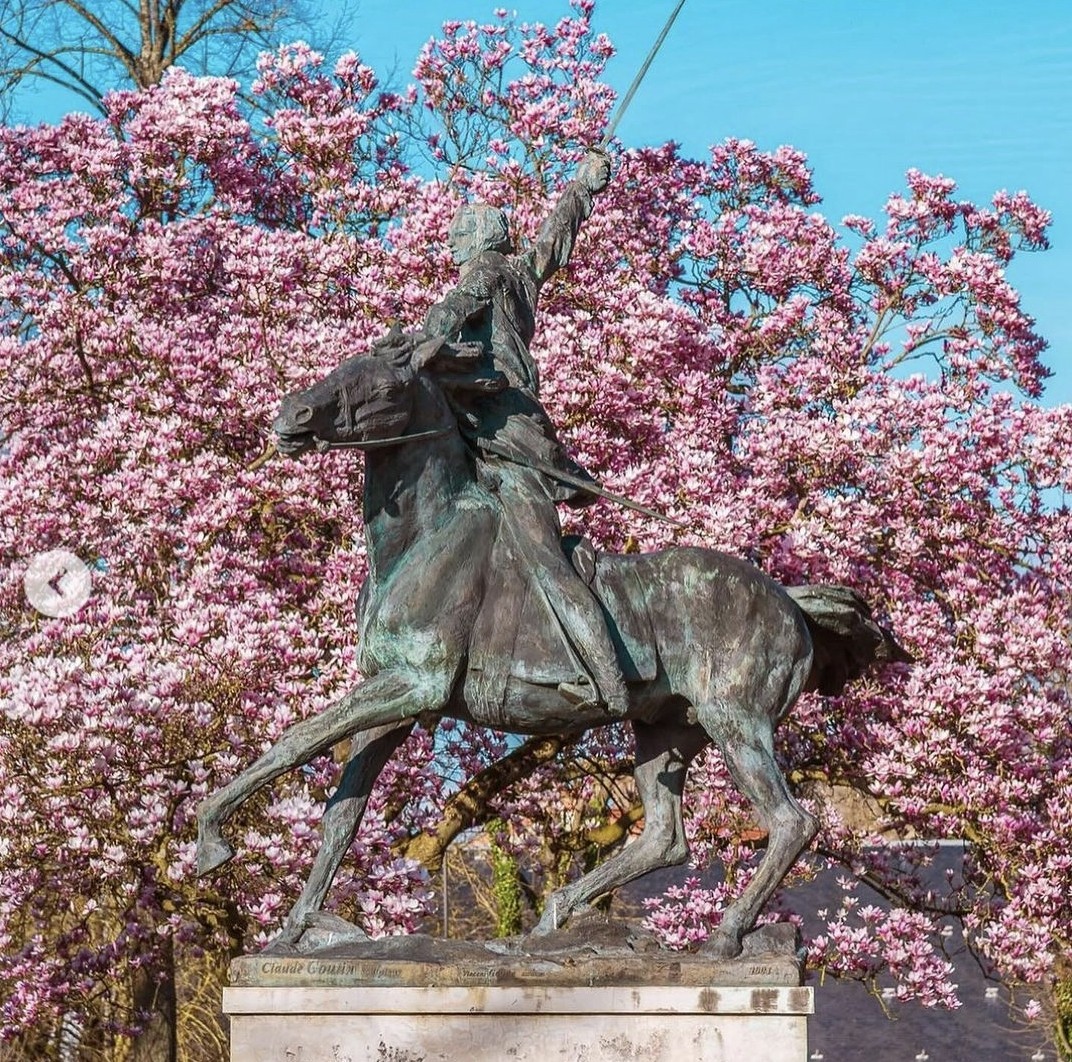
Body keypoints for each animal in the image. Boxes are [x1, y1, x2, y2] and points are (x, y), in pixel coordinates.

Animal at [195, 336, 904, 960]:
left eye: (385, 385)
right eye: (342, 366)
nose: (293, 417)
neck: (424, 539)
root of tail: (790, 603)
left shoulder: (415, 684)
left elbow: (296, 739)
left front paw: (209, 839)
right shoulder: (395, 700)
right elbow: (340, 811)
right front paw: (292, 930)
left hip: (737, 722)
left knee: (790, 822)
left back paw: (723, 937)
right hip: (666, 730)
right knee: (665, 837)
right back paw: (557, 916)